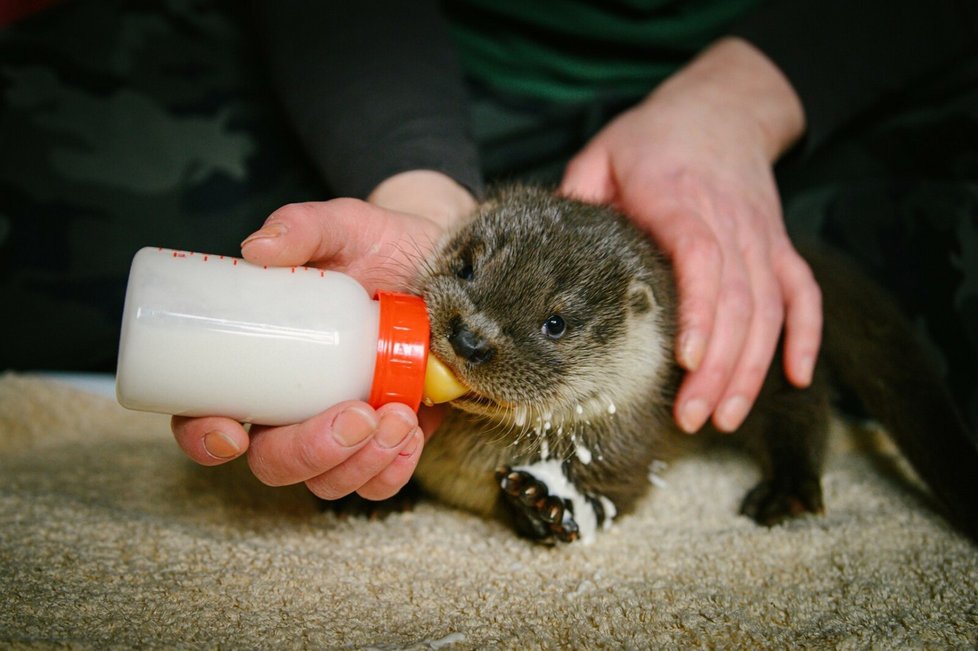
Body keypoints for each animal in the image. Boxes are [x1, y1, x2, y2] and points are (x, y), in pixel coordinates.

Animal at [408, 186, 972, 548]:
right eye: (466, 267)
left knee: (804, 412)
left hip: (773, 363)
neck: (468, 461)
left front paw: (544, 503)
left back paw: (786, 492)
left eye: (555, 324)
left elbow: (621, 492)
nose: (470, 338)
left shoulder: (633, 446)